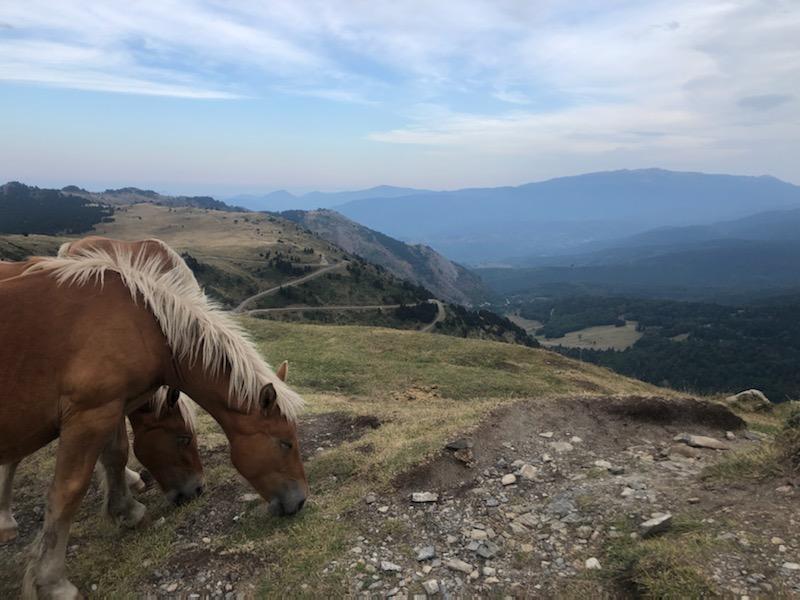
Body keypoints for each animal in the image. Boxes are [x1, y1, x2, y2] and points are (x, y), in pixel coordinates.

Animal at [0, 243, 306, 596]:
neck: (144, 324)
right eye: (286, 443)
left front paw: (126, 510)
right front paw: (52, 583)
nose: (300, 501)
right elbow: (66, 494)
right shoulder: (91, 413)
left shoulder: (111, 407)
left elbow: (115, 454)